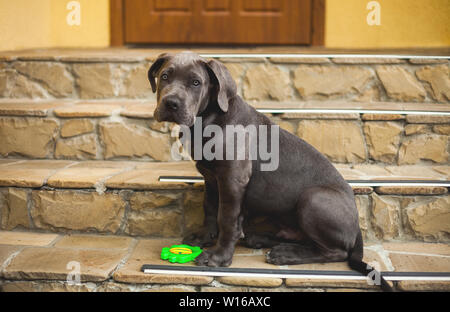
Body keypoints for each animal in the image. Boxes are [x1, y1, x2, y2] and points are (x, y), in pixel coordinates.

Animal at [149, 51, 392, 290]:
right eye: (165, 77)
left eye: (196, 83)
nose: (171, 103)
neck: (208, 120)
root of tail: (357, 227)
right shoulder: (210, 177)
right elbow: (209, 207)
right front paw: (204, 236)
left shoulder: (232, 179)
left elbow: (226, 217)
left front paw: (218, 257)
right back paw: (262, 240)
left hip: (314, 198)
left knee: (336, 252)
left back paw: (286, 254)